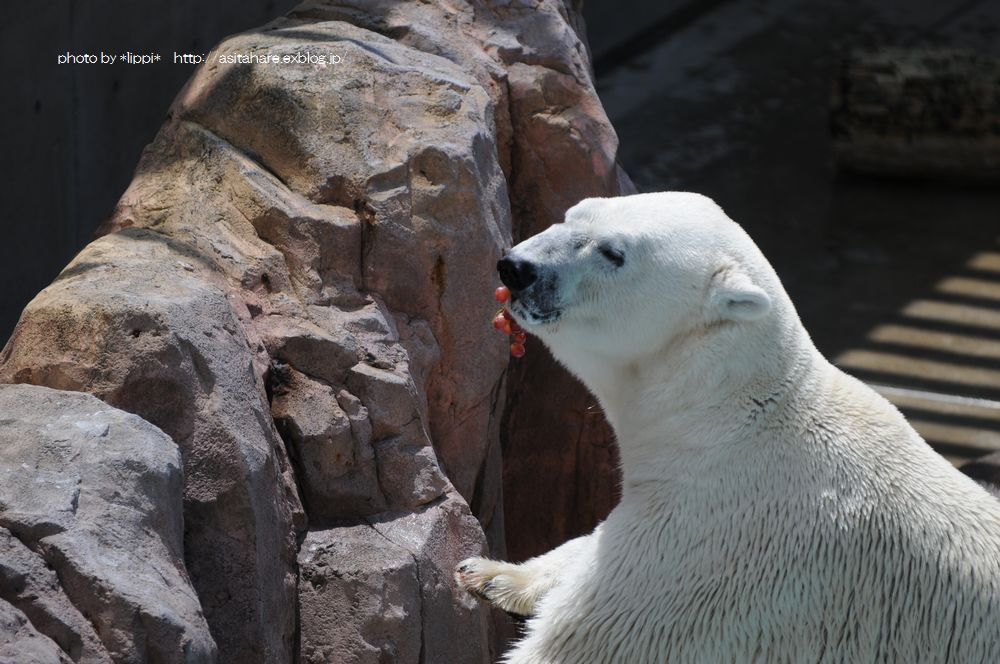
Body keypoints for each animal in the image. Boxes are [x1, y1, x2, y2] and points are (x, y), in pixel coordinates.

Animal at [458, 192, 1000, 664]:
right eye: (571, 214)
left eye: (614, 252)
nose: (517, 267)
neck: (728, 423)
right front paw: (493, 574)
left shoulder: (708, 550)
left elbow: (592, 639)